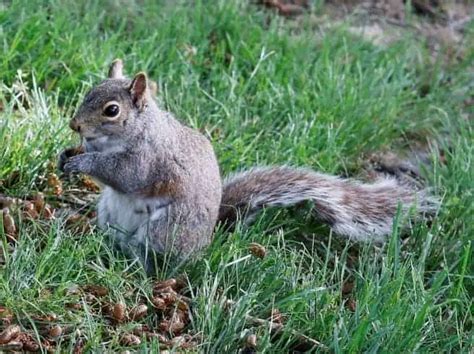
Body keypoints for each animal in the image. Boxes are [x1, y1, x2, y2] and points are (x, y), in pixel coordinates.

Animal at [59, 58, 440, 268]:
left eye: (112, 110)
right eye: (89, 91)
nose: (75, 125)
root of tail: (207, 240)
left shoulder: (148, 159)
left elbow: (124, 174)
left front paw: (83, 164)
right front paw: (68, 155)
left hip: (166, 229)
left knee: (155, 260)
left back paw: (135, 268)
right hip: (108, 213)